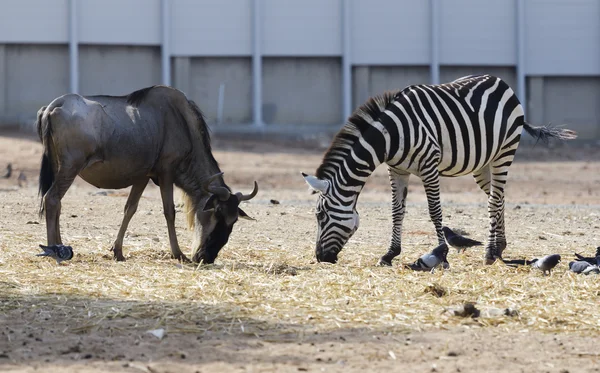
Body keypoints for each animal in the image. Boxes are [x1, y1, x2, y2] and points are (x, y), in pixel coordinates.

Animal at [300, 74, 576, 264]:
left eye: (320, 216)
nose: (320, 257)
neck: (391, 136)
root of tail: (500, 81)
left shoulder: (429, 166)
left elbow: (434, 211)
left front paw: (442, 253)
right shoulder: (397, 170)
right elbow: (397, 212)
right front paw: (390, 254)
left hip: (504, 153)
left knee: (494, 201)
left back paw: (490, 252)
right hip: (483, 165)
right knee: (499, 198)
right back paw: (500, 247)